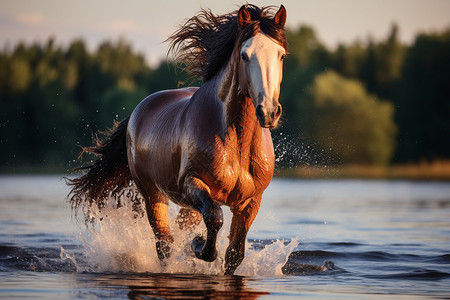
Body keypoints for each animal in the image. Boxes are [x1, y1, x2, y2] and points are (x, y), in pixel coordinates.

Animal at [67, 4, 288, 276]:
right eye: (245, 55)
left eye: (281, 55)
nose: (268, 111)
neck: (236, 143)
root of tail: (138, 111)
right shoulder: (192, 184)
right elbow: (215, 218)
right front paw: (197, 245)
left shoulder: (250, 201)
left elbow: (234, 253)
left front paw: (201, 248)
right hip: (153, 194)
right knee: (164, 243)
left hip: (187, 205)